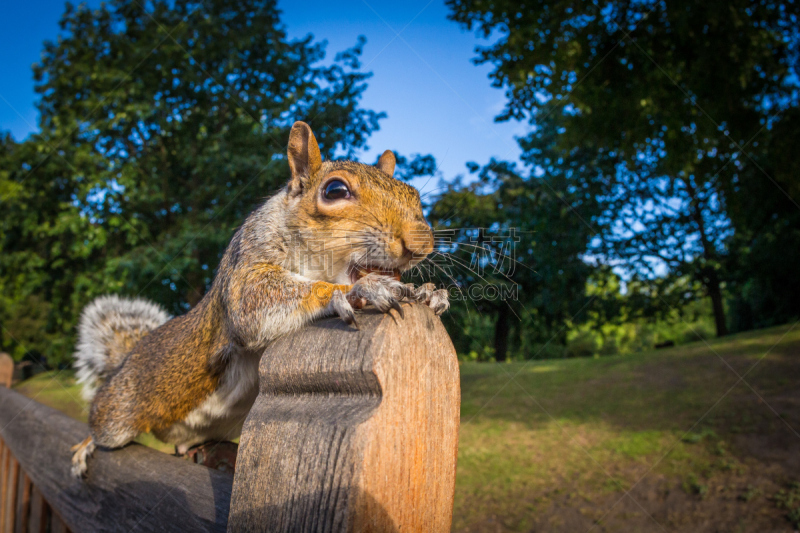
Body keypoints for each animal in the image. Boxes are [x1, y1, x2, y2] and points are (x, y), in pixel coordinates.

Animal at [70, 121, 450, 478]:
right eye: (335, 190)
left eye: (414, 194)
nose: (421, 245)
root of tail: (125, 362)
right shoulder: (247, 267)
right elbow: (254, 303)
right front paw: (360, 291)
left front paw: (428, 293)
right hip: (121, 410)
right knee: (101, 422)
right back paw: (85, 445)